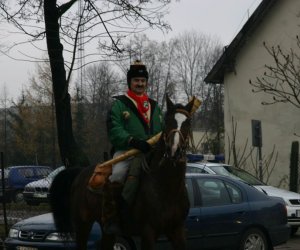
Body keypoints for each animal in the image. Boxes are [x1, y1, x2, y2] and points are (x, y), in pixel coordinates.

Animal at [49, 94, 195, 249]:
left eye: (188, 123)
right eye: (167, 122)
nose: (174, 150)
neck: (165, 187)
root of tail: (80, 172)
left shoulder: (177, 230)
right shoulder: (148, 232)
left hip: (105, 229)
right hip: (83, 224)